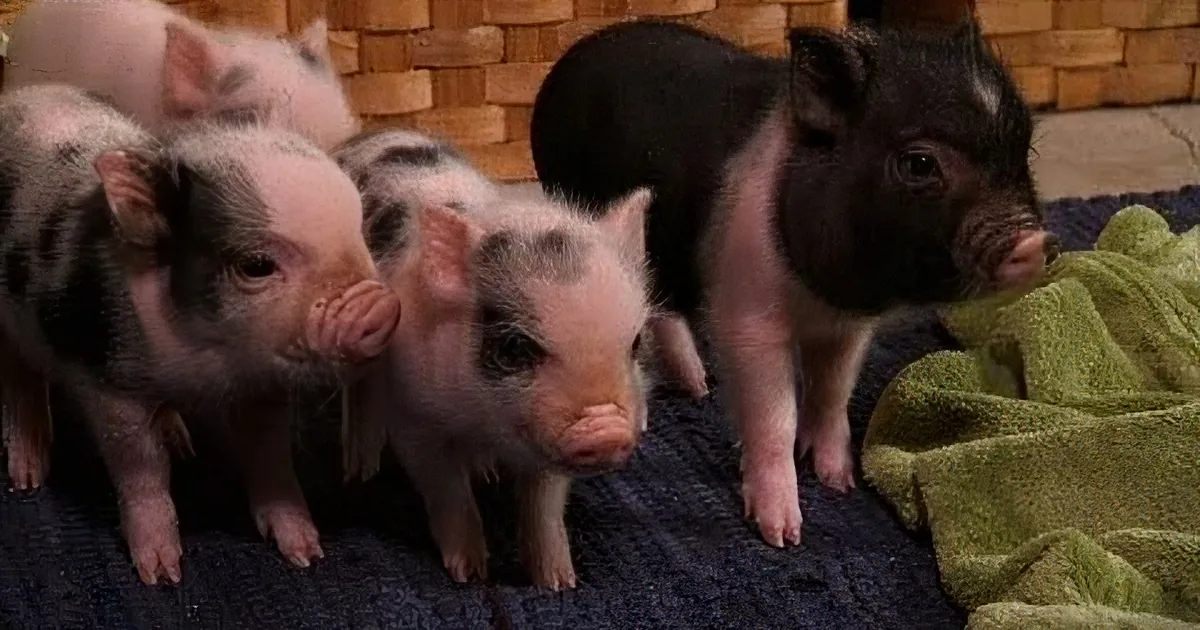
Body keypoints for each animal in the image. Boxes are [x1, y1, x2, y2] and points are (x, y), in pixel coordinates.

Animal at [0, 84, 399, 584]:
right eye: (256, 265)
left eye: (359, 231)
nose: (379, 305)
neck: (207, 370)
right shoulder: (110, 381)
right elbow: (141, 468)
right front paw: (161, 575)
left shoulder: (262, 388)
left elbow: (271, 455)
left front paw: (307, 554)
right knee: (20, 381)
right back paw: (27, 479)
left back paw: (181, 439)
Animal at [335, 128, 654, 590]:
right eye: (514, 348)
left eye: (636, 342)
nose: (607, 430)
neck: (483, 418)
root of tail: (364, 136)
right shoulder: (414, 416)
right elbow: (446, 488)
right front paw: (469, 575)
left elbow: (544, 504)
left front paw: (560, 582)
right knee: (358, 396)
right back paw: (359, 471)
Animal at [528, 18, 1059, 547]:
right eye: (920, 164)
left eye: (1026, 152)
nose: (1035, 243)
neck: (818, 303)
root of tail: (572, 57)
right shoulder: (748, 317)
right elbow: (774, 416)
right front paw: (783, 535)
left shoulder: (848, 327)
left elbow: (833, 391)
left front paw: (840, 482)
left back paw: (699, 388)